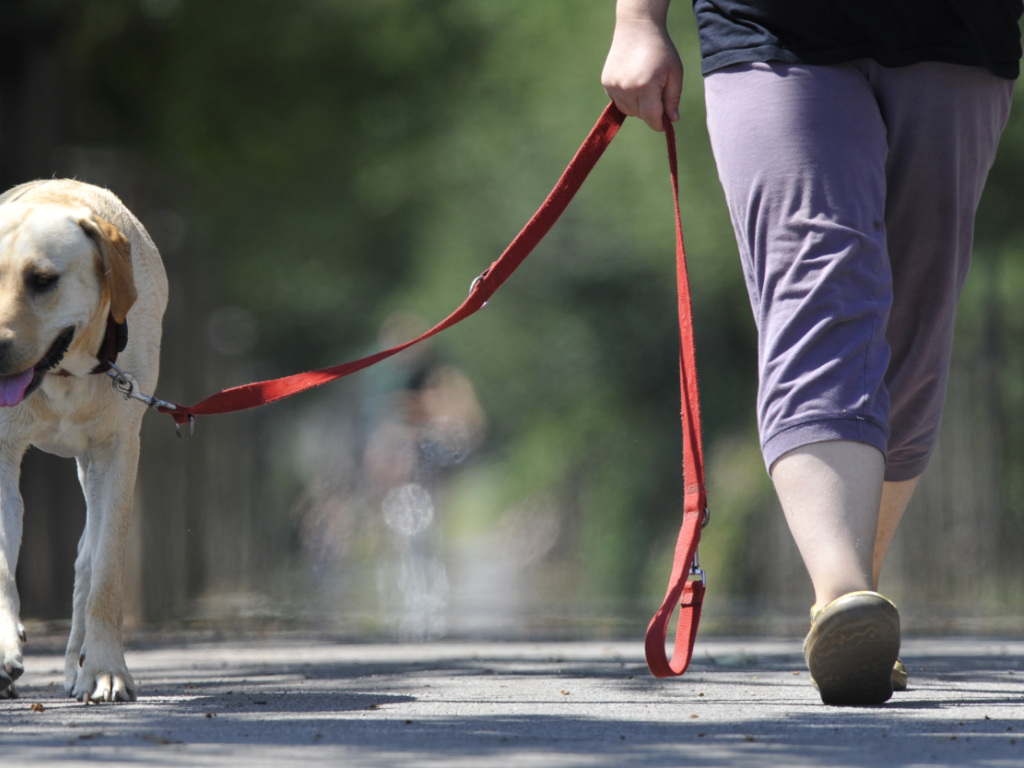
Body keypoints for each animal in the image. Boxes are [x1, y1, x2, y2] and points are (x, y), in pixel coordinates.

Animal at [0, 180, 165, 704]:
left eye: (42, 279)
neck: (65, 376)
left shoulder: (117, 453)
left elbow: (106, 574)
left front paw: (107, 671)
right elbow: (1, 567)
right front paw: (4, 649)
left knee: (87, 561)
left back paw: (79, 664)